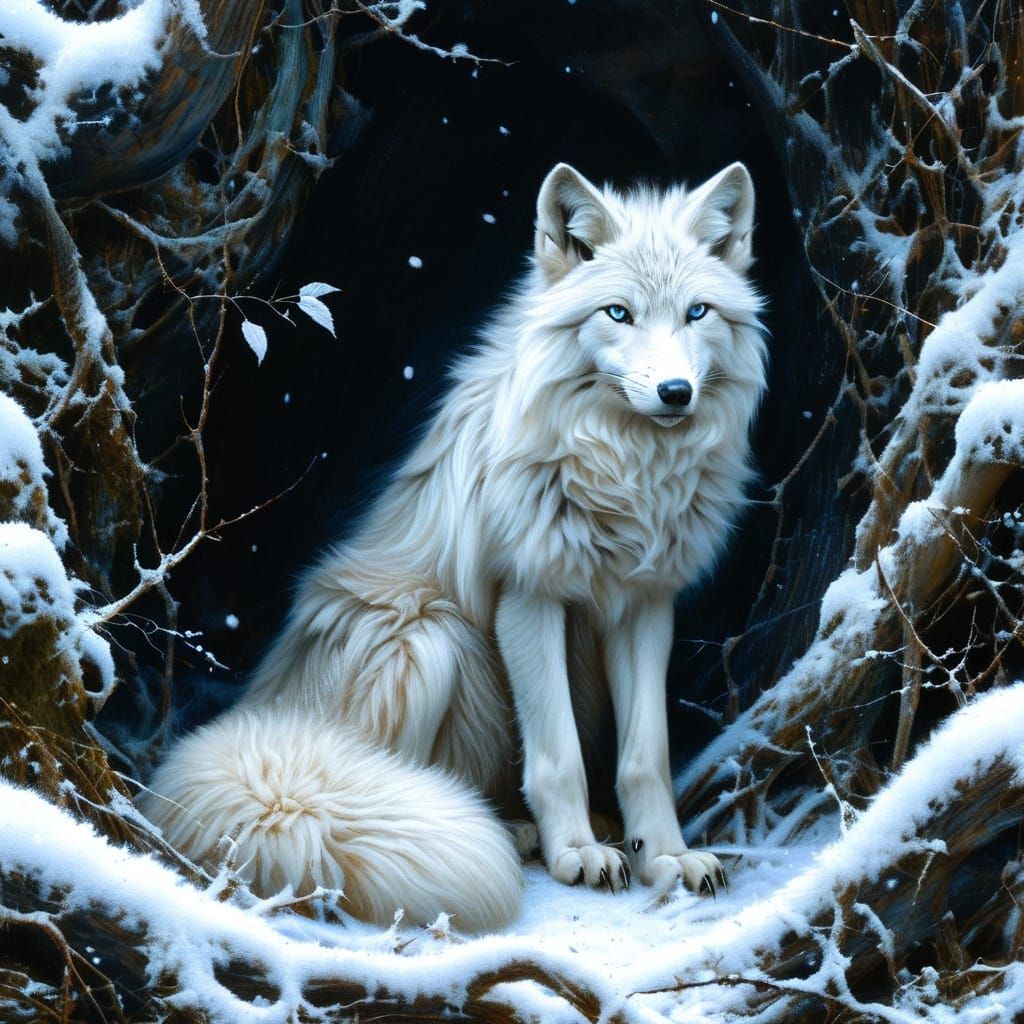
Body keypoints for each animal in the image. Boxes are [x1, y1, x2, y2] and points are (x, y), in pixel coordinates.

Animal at [141, 161, 767, 933]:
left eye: (698, 313)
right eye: (618, 314)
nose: (676, 392)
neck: (624, 472)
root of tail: (261, 708)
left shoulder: (645, 604)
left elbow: (645, 757)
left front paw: (667, 858)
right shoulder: (528, 595)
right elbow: (558, 754)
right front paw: (576, 855)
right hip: (427, 638)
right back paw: (501, 830)